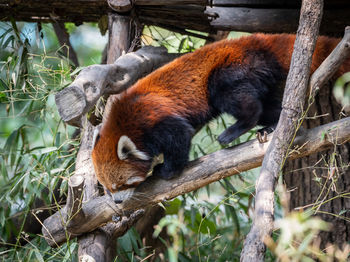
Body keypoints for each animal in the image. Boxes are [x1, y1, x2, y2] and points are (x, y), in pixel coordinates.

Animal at [91, 32, 350, 201]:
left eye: (121, 184)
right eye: (107, 188)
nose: (117, 201)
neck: (124, 121)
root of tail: (258, 41)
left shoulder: (154, 117)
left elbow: (180, 136)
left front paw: (167, 170)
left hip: (232, 70)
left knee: (241, 102)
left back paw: (233, 132)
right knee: (272, 107)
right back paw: (273, 126)